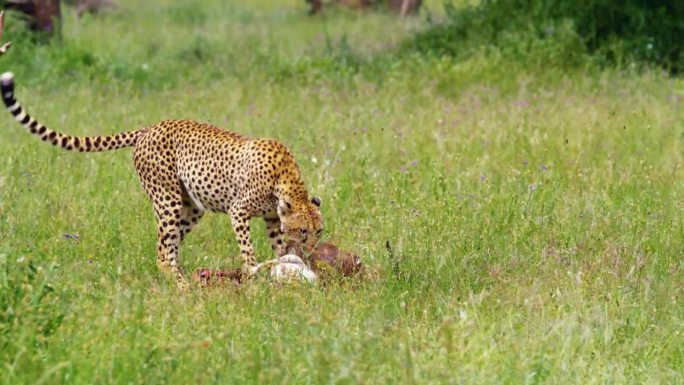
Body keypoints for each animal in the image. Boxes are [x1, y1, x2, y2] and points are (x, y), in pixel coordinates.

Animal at [0, 73, 324, 286]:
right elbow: (247, 248)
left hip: (191, 207)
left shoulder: (271, 218)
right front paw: (254, 272)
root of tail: (150, 127)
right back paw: (180, 285)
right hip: (166, 198)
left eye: (318, 231)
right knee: (161, 251)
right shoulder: (239, 211)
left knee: (170, 247)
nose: (311, 250)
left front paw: (281, 270)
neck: (287, 181)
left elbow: (278, 246)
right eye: (304, 232)